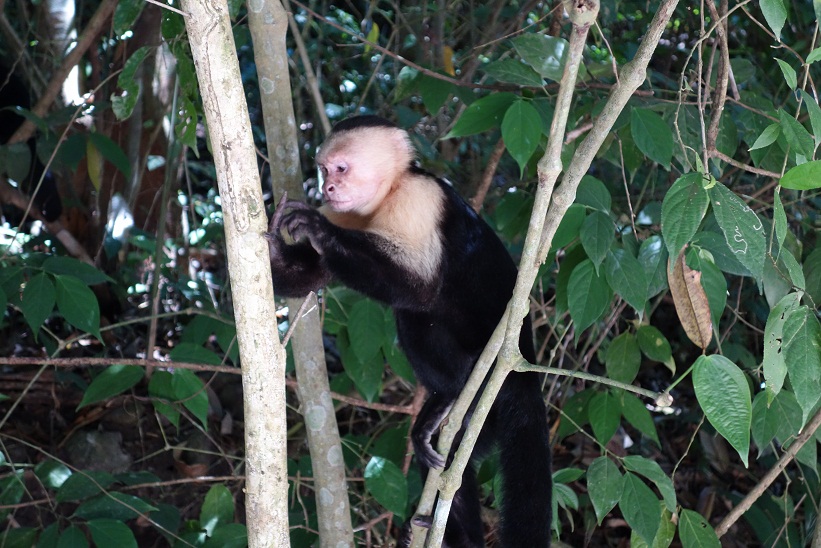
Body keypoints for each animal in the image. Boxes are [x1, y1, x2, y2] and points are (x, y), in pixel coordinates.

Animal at [270, 116, 552, 548]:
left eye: (341, 168)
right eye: (324, 169)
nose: (327, 188)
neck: (383, 199)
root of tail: (522, 360)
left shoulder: (419, 201)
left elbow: (418, 290)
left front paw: (314, 228)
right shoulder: (344, 214)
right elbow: (313, 273)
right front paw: (270, 245)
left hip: (488, 368)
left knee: (418, 312)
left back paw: (452, 392)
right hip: (483, 419)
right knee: (452, 467)